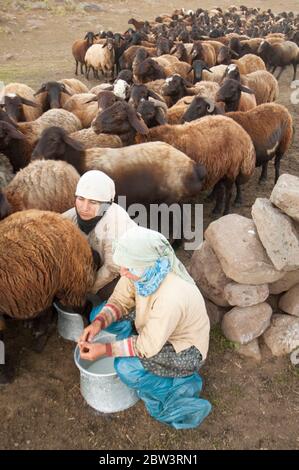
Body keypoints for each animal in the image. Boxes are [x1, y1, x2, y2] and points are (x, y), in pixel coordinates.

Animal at [31, 126, 207, 207]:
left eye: (53, 140)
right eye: (40, 138)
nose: (34, 156)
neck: (81, 159)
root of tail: (193, 166)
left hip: (172, 200)